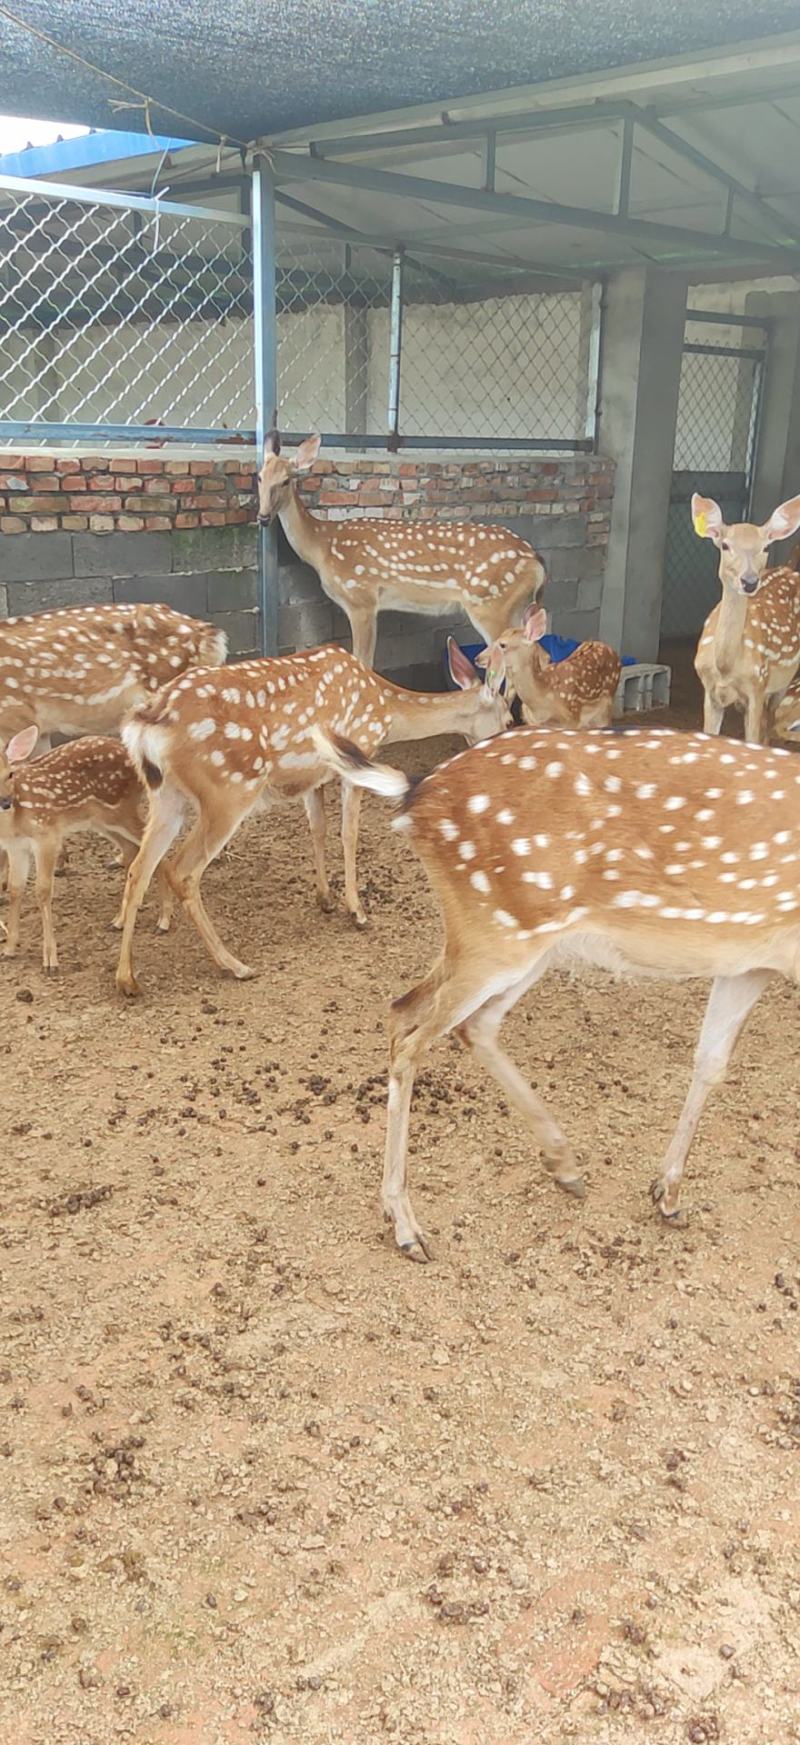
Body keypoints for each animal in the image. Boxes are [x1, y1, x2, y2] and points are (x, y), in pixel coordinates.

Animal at [0, 729, 173, 973]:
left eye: (10, 774)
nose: (5, 802)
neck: (14, 821)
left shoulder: (47, 835)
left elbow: (42, 891)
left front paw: (50, 961)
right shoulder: (15, 846)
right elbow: (16, 890)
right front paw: (9, 949)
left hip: (121, 809)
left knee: (156, 849)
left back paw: (164, 920)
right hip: (102, 820)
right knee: (132, 850)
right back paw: (119, 921)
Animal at [113, 641, 511, 996]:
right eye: (508, 718)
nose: (505, 745)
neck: (388, 707)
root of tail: (149, 721)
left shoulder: (313, 775)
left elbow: (317, 828)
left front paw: (325, 898)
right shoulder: (358, 752)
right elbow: (349, 832)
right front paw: (357, 911)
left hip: (166, 795)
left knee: (140, 868)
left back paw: (128, 979)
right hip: (228, 790)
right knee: (182, 870)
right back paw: (235, 965)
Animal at [257, 431, 546, 670]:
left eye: (286, 481)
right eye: (259, 476)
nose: (262, 517)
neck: (323, 545)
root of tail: (536, 561)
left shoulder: (362, 599)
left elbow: (364, 661)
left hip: (490, 604)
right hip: (515, 606)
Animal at [311, 721, 800, 1261]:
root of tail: (418, 789)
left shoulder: (749, 962)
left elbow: (711, 1062)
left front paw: (667, 1193)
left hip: (517, 939)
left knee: (440, 1017)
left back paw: (564, 1164)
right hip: (498, 933)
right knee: (413, 1030)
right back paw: (406, 1226)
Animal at [693, 495, 800, 745]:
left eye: (766, 546)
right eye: (725, 545)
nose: (749, 581)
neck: (725, 667)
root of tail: (790, 569)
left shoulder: (757, 686)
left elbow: (752, 739)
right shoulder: (710, 690)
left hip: (784, 681)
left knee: (769, 725)